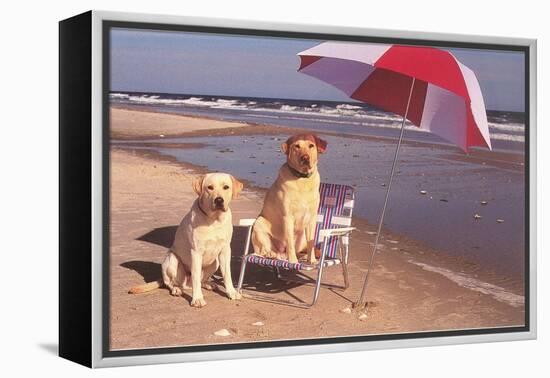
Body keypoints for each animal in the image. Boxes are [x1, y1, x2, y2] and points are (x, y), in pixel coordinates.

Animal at [129, 173, 244, 308]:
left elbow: (227, 275)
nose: (219, 200)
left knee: (200, 280)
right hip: (172, 260)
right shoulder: (196, 252)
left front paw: (231, 292)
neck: (214, 220)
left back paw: (208, 284)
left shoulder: (225, 250)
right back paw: (176, 289)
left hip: (214, 262)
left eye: (226, 187)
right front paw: (197, 299)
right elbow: (195, 277)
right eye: (209, 187)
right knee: (172, 283)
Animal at [253, 134, 328, 264]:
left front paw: (312, 260)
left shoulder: (312, 218)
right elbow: (290, 242)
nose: (305, 157)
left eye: (311, 145)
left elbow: (311, 242)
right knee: (263, 250)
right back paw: (271, 254)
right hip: (259, 224)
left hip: (302, 236)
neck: (302, 179)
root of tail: (281, 252)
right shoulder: (287, 217)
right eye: (296, 146)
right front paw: (293, 261)